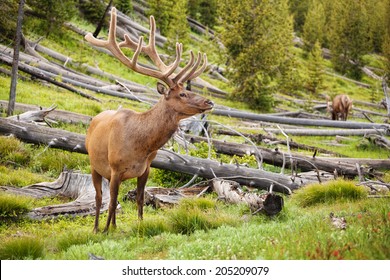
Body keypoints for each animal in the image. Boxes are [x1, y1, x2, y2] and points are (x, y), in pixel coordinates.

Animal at [84, 7, 215, 233]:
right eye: (182, 94)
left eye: (187, 90)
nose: (209, 101)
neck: (142, 145)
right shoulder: (116, 169)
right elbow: (111, 202)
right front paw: (106, 231)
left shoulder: (146, 169)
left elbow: (139, 199)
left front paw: (140, 226)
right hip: (94, 165)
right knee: (100, 198)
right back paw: (97, 228)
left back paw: (115, 226)